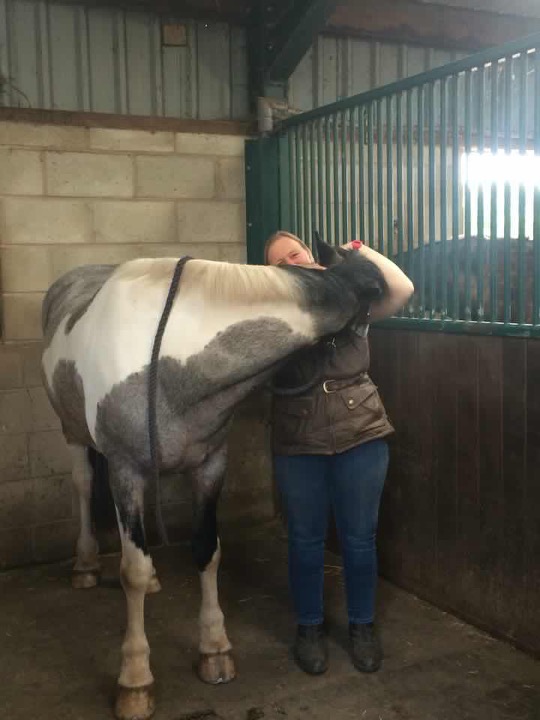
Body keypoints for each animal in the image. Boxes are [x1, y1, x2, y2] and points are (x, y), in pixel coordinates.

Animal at [41, 240, 386, 720]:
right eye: (372, 292)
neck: (168, 358)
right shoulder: (125, 469)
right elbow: (130, 571)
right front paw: (135, 679)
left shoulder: (209, 465)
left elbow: (206, 551)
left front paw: (214, 649)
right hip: (74, 434)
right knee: (83, 486)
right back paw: (87, 564)